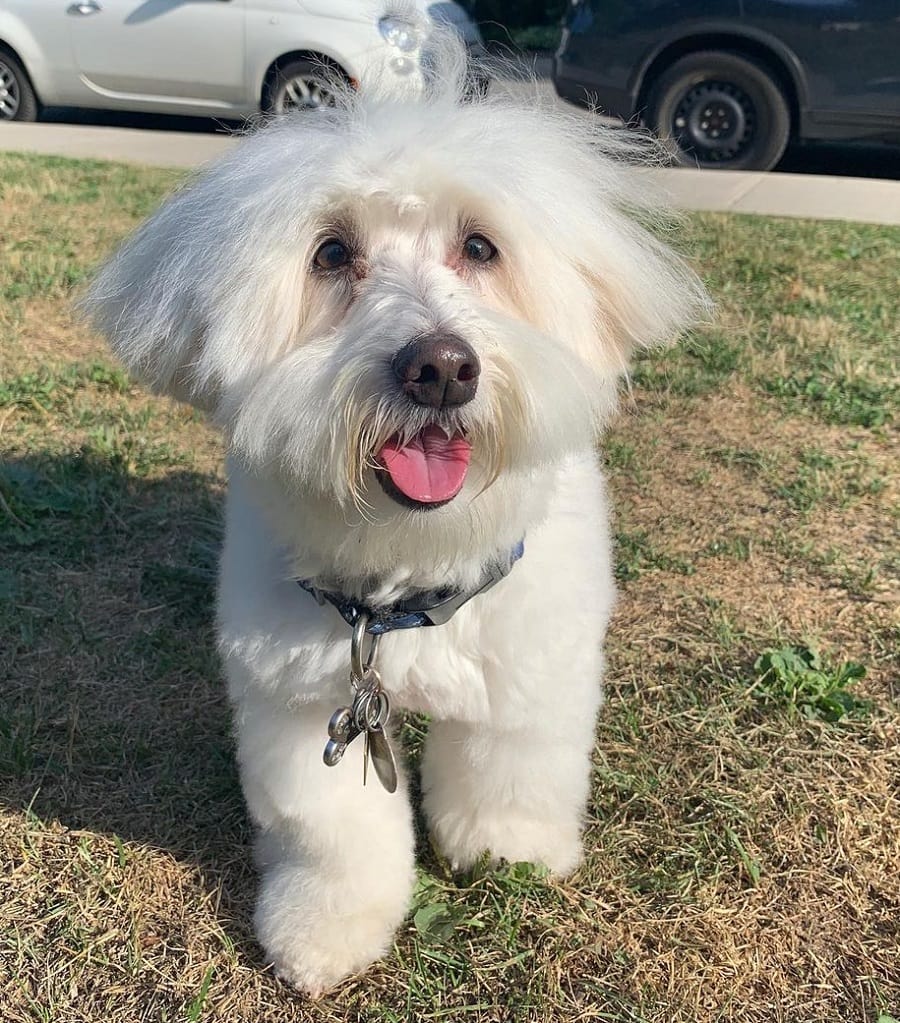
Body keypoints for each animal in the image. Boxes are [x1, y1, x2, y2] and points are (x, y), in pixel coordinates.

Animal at [84, 29, 707, 990]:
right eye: (332, 255)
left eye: (480, 247)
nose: (441, 367)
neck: (410, 569)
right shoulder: (303, 701)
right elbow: (331, 832)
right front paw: (324, 929)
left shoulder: (527, 666)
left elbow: (512, 770)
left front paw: (508, 849)